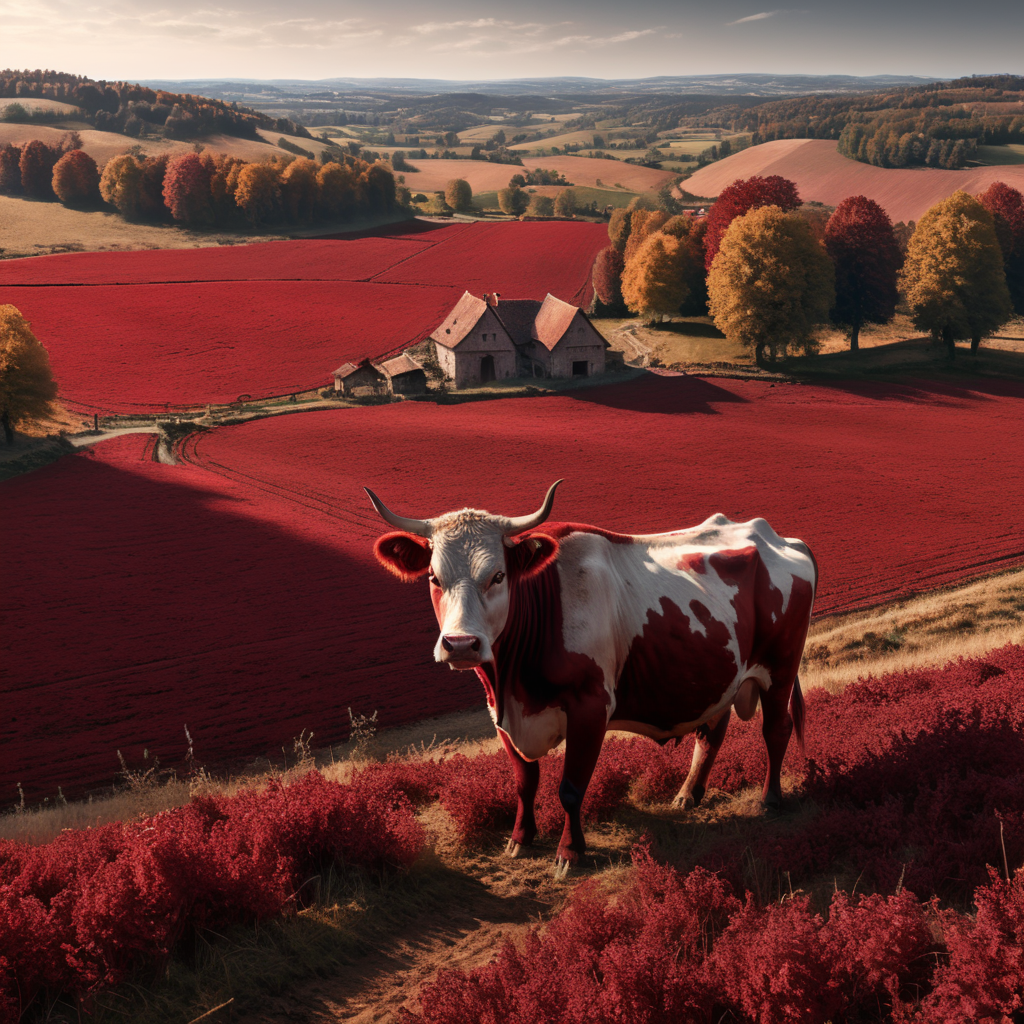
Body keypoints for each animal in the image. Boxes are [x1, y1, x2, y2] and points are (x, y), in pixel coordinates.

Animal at [366, 483, 815, 876]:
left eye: (497, 576)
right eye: (433, 578)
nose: (461, 644)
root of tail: (777, 536)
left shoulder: (590, 708)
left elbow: (570, 787)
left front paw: (569, 852)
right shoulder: (501, 714)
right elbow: (524, 781)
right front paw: (520, 838)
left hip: (780, 669)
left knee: (776, 730)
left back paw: (770, 798)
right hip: (718, 675)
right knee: (710, 735)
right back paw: (688, 795)